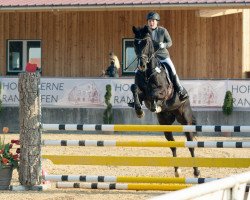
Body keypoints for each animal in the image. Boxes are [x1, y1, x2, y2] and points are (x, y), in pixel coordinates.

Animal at [130, 25, 200, 177]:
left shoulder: (163, 91)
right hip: (165, 123)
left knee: (190, 144)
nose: (142, 65)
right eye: (135, 43)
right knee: (172, 144)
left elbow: (154, 93)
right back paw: (177, 170)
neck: (148, 72)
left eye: (146, 43)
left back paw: (197, 171)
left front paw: (155, 105)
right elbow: (135, 89)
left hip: (185, 121)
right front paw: (139, 111)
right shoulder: (141, 92)